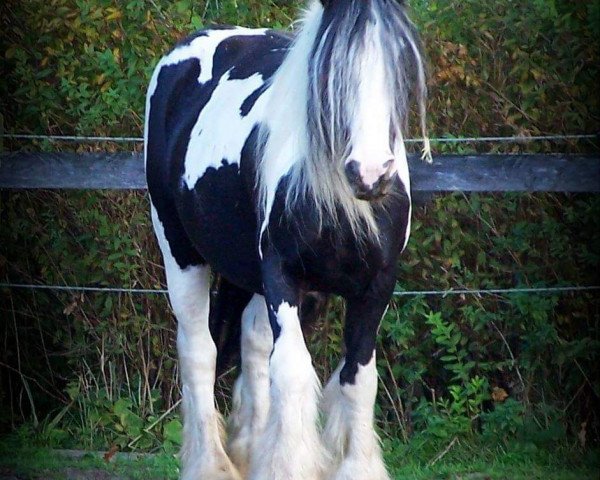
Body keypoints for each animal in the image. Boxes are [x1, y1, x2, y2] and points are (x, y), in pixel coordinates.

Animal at [143, 0, 428, 480]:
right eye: (329, 66)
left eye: (399, 62)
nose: (370, 174)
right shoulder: (282, 276)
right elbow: (292, 374)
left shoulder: (375, 286)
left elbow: (357, 379)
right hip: (179, 251)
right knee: (200, 350)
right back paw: (211, 464)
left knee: (253, 346)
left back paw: (250, 450)